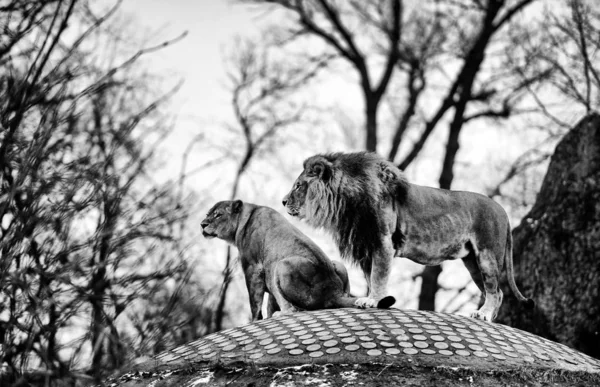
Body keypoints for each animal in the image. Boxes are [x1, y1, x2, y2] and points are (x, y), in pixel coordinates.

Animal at [203, 200, 398, 322]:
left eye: (218, 215)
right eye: (208, 214)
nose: (202, 224)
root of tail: (332, 291)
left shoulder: (253, 268)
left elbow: (255, 302)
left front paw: (254, 321)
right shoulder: (268, 273)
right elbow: (270, 302)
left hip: (282, 265)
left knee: (299, 309)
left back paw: (282, 314)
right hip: (337, 264)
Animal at [282, 153, 536, 322]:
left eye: (298, 186)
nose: (283, 201)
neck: (346, 201)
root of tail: (503, 210)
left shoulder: (382, 242)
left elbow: (378, 276)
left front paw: (372, 301)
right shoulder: (367, 246)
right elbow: (370, 277)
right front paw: (376, 301)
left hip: (486, 255)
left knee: (494, 290)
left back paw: (483, 315)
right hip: (472, 261)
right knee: (497, 292)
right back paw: (487, 317)